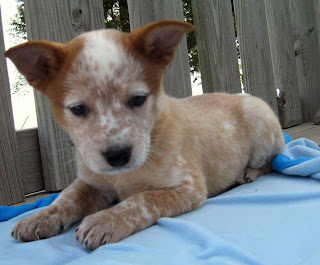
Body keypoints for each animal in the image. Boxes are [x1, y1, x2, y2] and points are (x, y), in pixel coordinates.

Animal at [6, 20, 284, 248]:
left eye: (138, 99)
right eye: (78, 109)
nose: (117, 155)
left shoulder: (187, 187)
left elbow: (142, 199)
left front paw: (105, 220)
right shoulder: (92, 180)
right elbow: (67, 197)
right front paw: (39, 218)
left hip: (260, 123)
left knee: (273, 160)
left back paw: (248, 173)